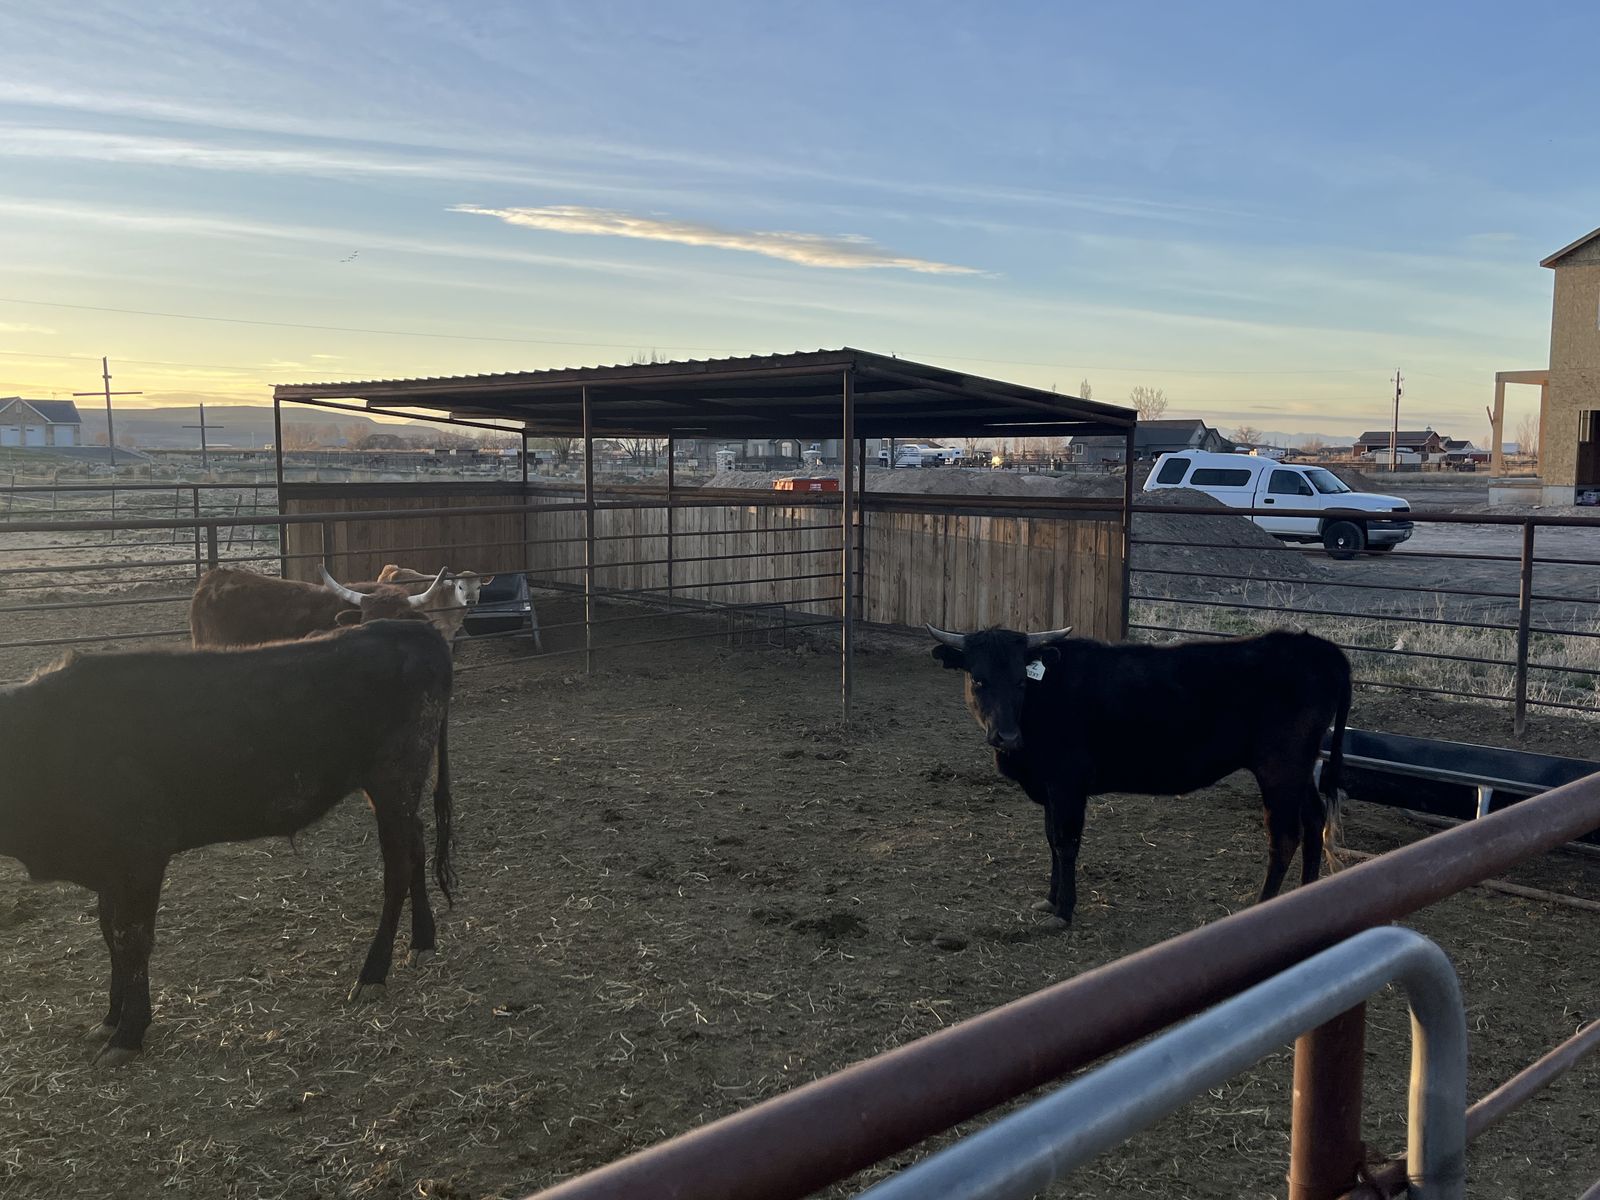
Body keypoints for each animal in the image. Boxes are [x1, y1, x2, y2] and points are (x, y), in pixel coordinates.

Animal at [0, 619, 455, 1066]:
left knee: (397, 867)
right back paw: (422, 941)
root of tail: (409, 627)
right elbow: (111, 934)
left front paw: (129, 1033)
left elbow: (132, 940)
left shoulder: (141, 855)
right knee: (416, 844)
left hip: (394, 778)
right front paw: (111, 1018)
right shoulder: (110, 867)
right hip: (394, 793)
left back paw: (373, 975)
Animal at [928, 625, 1350, 925]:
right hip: (1299, 768)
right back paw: (1306, 893)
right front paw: (1049, 900)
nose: (1006, 736)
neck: (1041, 697)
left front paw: (1063, 911)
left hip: (1279, 767)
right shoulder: (1049, 788)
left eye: (1020, 680)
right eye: (978, 679)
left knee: (1285, 834)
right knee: (1314, 820)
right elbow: (1049, 839)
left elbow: (1065, 842)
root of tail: (1319, 649)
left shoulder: (1067, 784)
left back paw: (1264, 904)